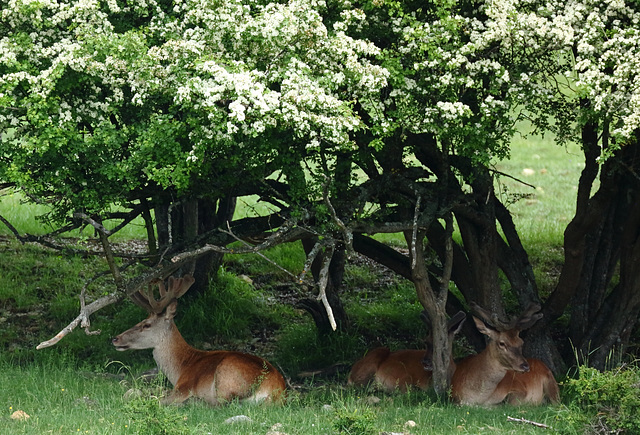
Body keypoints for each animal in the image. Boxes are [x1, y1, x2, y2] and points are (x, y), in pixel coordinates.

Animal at [112, 276, 284, 406]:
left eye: (146, 324)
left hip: (227, 377)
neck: (181, 367)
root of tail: (275, 389)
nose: (115, 338)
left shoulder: (184, 387)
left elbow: (157, 399)